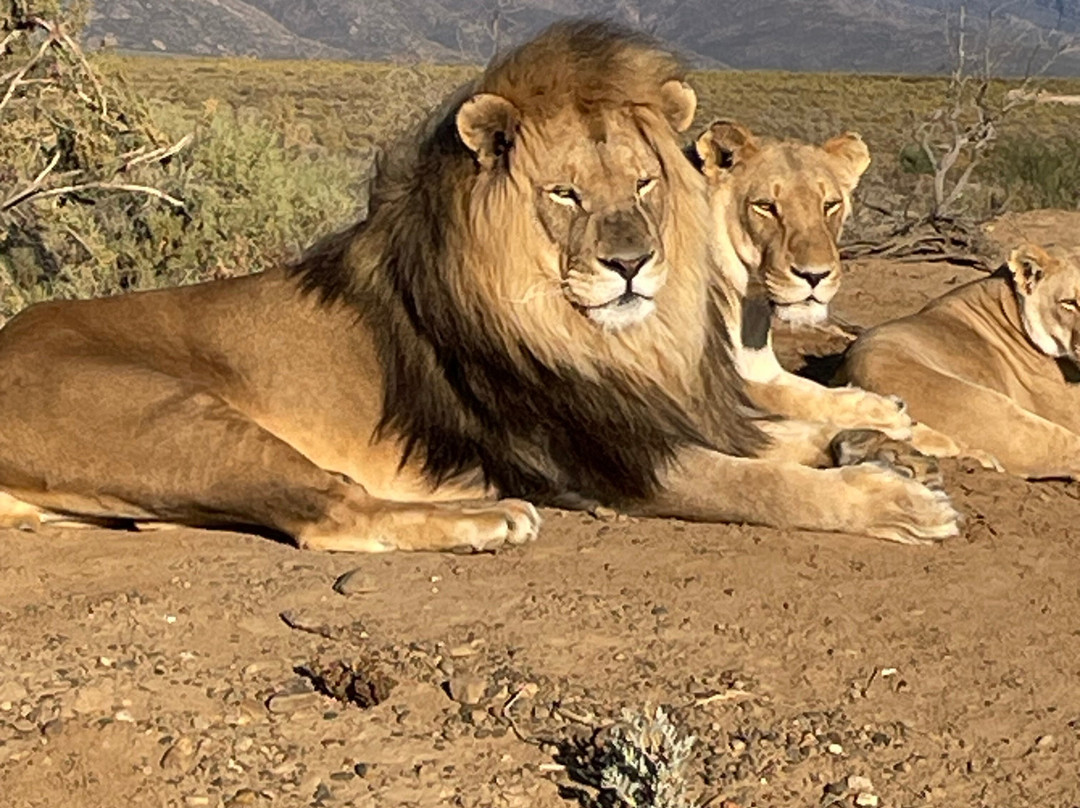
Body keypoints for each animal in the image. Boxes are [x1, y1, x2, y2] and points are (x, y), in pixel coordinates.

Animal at [691, 119, 911, 438]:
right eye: (765, 206)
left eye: (830, 205)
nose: (814, 275)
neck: (746, 307)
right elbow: (779, 397)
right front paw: (883, 410)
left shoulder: (764, 370)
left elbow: (807, 390)